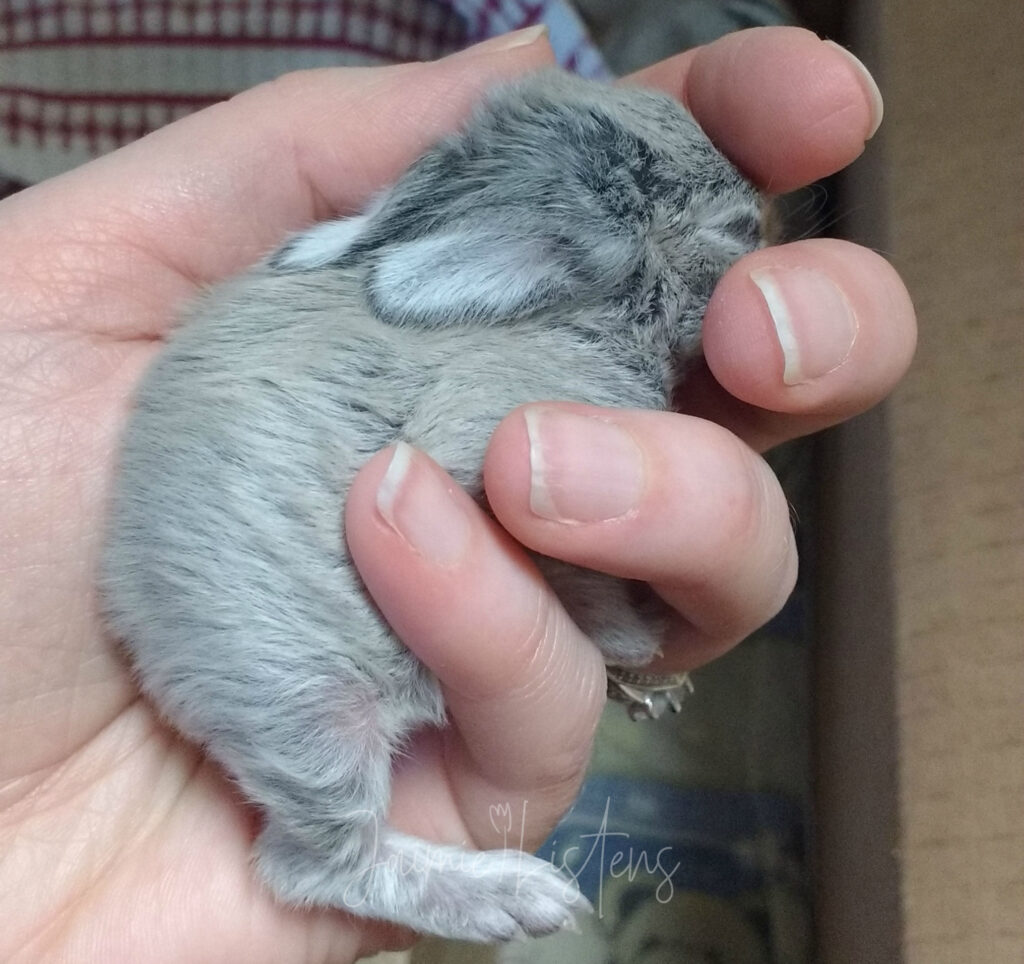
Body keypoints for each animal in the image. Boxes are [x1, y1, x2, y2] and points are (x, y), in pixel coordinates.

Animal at [101, 67, 762, 942]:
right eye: (732, 226)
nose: (763, 208)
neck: (578, 311)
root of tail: (139, 641)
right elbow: (582, 585)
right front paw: (635, 635)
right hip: (313, 717)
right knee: (314, 866)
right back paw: (520, 898)